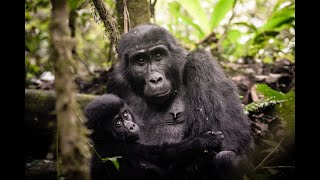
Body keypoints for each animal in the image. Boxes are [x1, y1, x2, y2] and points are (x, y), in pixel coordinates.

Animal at [85, 94, 225, 180]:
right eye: (118, 124)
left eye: (125, 115)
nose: (131, 126)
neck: (105, 140)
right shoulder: (118, 148)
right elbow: (161, 156)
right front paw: (202, 141)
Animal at [107, 23, 255, 179]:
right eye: (140, 60)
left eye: (158, 56)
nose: (155, 79)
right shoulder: (116, 83)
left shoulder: (201, 62)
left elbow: (233, 138)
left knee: (226, 157)